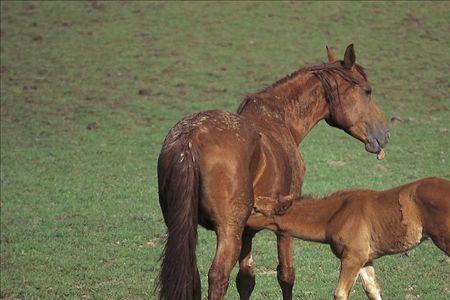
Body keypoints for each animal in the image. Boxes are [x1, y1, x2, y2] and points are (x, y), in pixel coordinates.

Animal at [156, 44, 388, 300]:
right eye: (367, 91)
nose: (384, 134)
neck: (278, 118)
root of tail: (191, 136)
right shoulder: (286, 219)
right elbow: (286, 275)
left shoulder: (247, 230)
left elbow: (246, 279)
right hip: (227, 232)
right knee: (218, 276)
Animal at [250, 177, 450, 298]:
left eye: (255, 209)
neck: (336, 214)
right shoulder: (365, 259)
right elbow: (372, 289)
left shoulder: (352, 258)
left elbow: (340, 293)